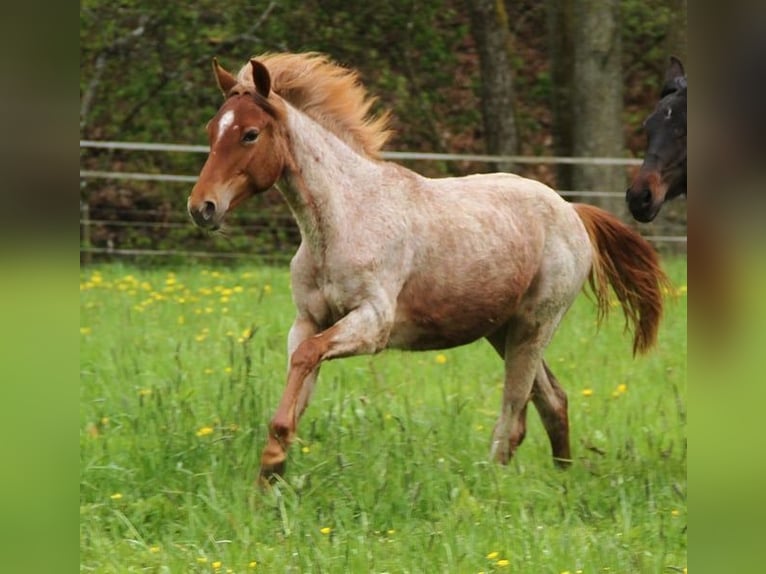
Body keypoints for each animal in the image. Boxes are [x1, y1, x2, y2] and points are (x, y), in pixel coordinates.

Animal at [187, 52, 668, 485]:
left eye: (250, 134)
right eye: (212, 129)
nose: (202, 207)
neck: (342, 220)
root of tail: (571, 210)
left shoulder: (372, 324)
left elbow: (306, 358)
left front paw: (273, 462)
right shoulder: (308, 320)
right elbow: (299, 376)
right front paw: (271, 473)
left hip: (534, 326)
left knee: (514, 413)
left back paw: (490, 487)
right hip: (503, 330)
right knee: (553, 400)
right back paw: (562, 481)